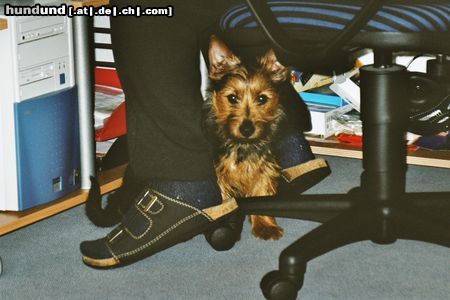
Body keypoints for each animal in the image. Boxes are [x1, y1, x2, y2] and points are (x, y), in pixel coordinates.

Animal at [202, 35, 286, 241]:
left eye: (262, 99)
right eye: (232, 98)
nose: (247, 129)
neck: (243, 145)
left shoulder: (265, 168)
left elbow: (262, 193)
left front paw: (265, 225)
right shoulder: (218, 173)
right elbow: (224, 199)